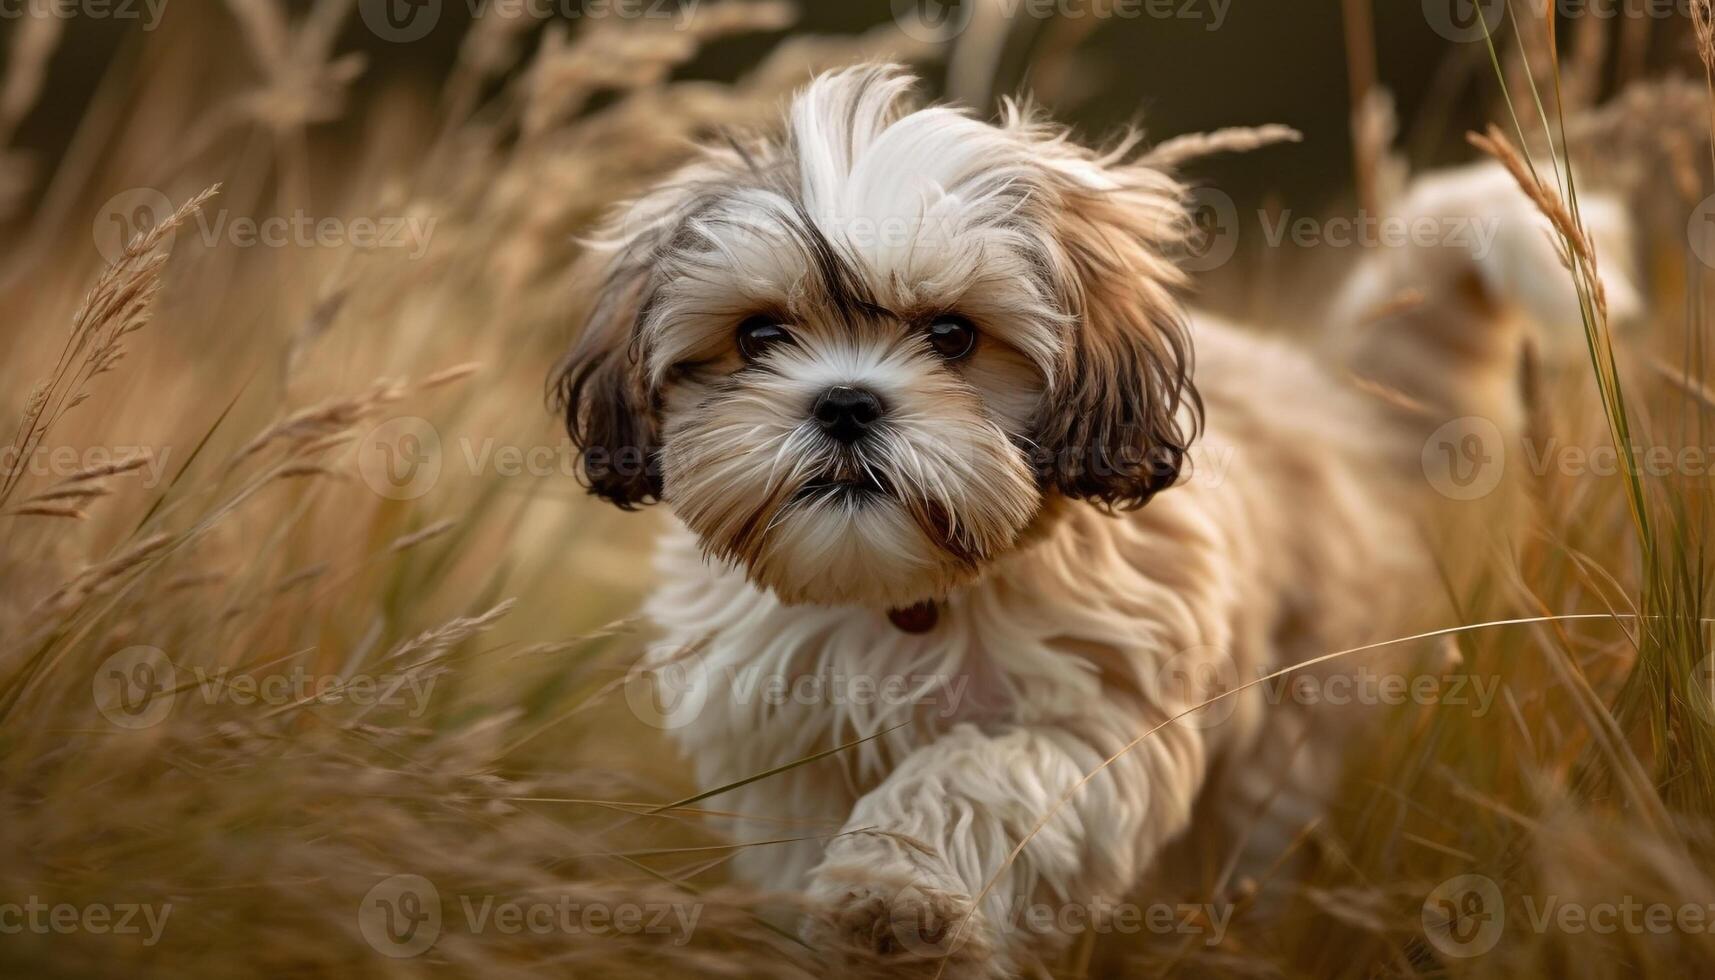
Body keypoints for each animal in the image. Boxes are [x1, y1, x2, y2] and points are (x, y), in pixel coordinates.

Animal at [552, 65, 1632, 974]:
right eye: (759, 334)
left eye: (953, 334)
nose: (846, 402)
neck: (912, 597)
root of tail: (1332, 402)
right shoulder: (780, 739)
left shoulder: (1096, 723)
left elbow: (971, 773)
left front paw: (895, 889)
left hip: (1286, 738)